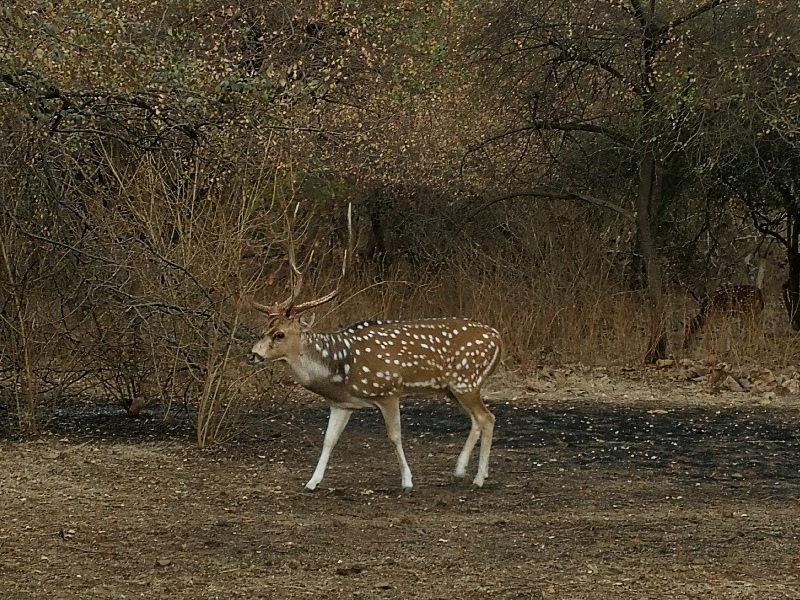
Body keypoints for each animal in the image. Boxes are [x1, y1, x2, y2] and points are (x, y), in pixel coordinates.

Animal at [247, 253, 504, 492]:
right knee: (480, 419)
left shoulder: (388, 391)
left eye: (279, 334)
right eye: (264, 328)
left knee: (486, 417)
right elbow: (329, 440)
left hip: (466, 380)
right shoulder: (342, 404)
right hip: (452, 388)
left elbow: (394, 436)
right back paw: (467, 473)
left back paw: (473, 476)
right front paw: (311, 482)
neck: (339, 371)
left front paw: (407, 482)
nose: (252, 354)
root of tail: (498, 338)